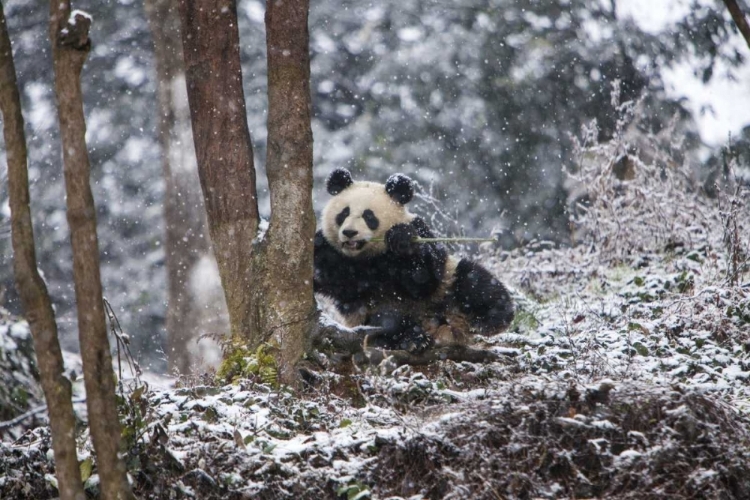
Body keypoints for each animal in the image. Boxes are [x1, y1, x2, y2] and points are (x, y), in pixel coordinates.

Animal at [314, 170, 516, 354]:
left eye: (369, 216)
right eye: (343, 213)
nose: (349, 232)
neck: (367, 257)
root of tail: (443, 329)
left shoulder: (420, 230)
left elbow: (424, 278)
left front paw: (400, 238)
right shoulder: (331, 252)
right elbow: (321, 271)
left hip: (447, 285)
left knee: (475, 281)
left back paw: (489, 319)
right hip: (368, 315)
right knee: (385, 324)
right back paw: (413, 339)